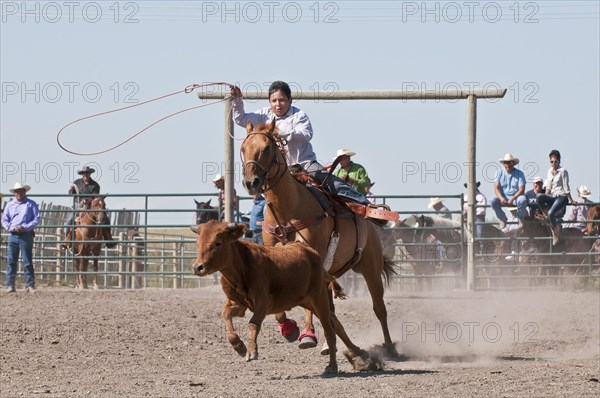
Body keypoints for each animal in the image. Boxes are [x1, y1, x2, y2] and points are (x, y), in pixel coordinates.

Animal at [191, 222, 380, 374]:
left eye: (218, 243)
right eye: (198, 243)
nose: (198, 267)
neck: (241, 267)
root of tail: (312, 253)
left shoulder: (263, 302)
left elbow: (253, 324)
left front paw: (252, 352)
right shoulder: (238, 304)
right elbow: (226, 315)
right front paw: (239, 346)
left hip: (319, 298)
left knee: (329, 329)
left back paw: (333, 366)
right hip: (308, 301)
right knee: (336, 324)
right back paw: (361, 355)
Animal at [239, 118, 398, 354]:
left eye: (267, 148)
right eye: (243, 149)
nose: (251, 182)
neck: (288, 210)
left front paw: (307, 335)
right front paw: (289, 329)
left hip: (371, 266)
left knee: (379, 308)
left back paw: (389, 347)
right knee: (329, 308)